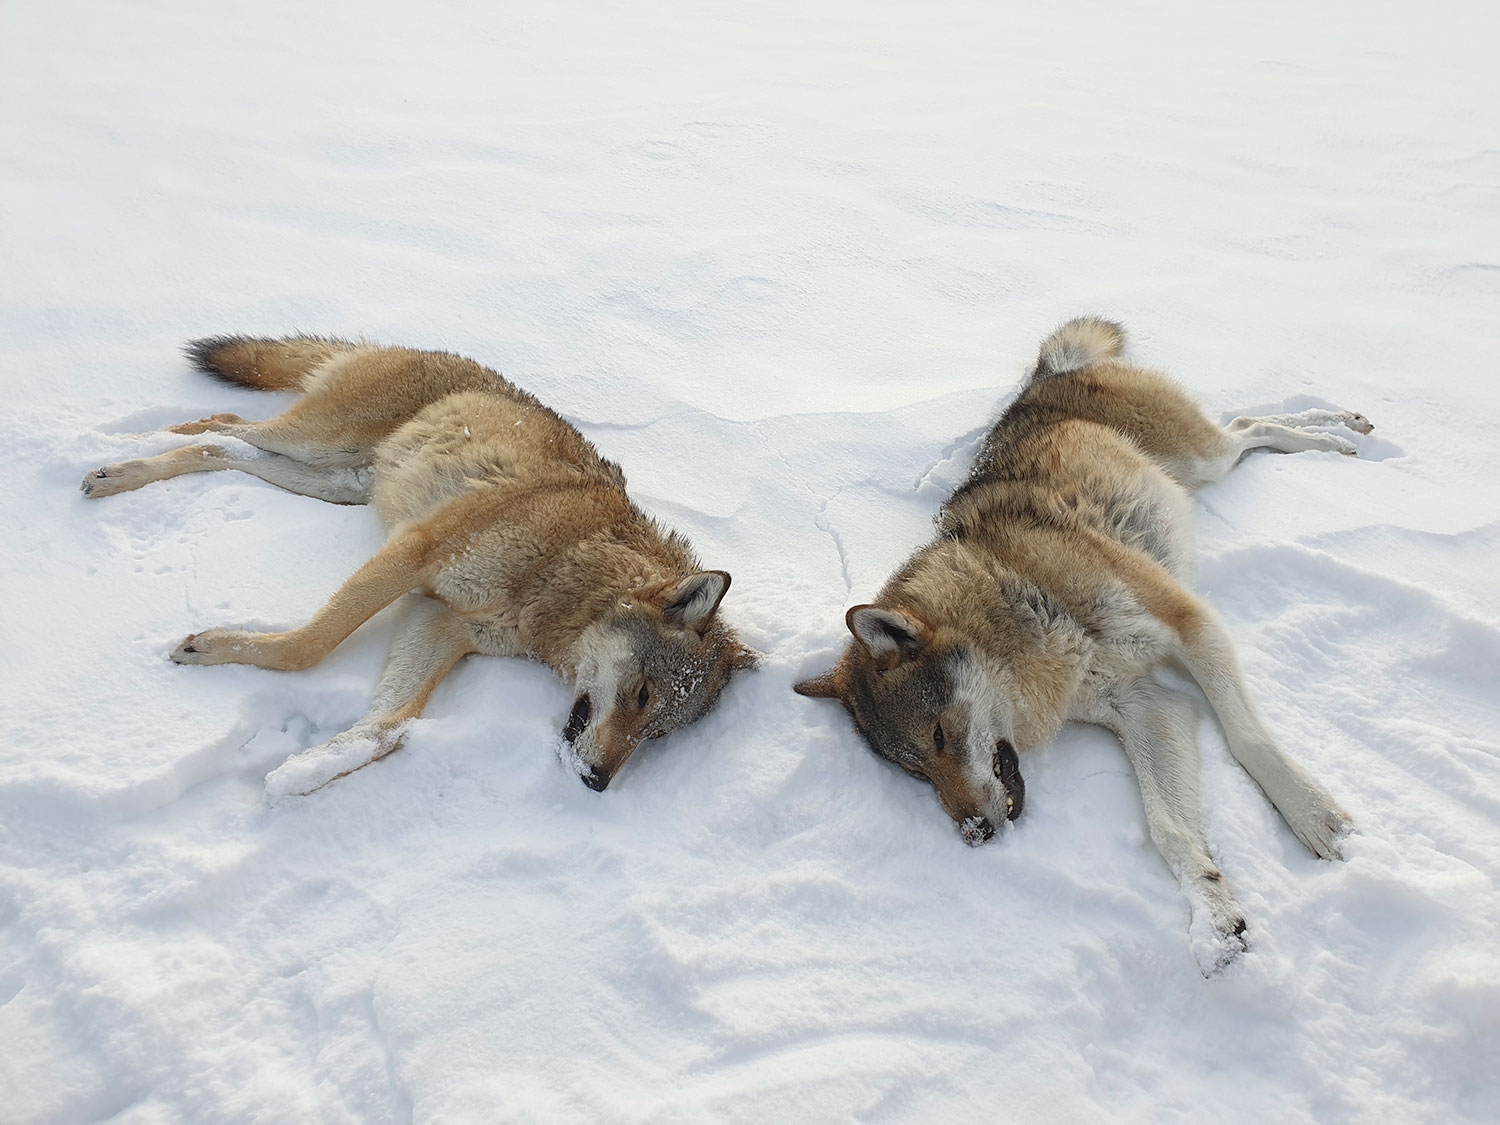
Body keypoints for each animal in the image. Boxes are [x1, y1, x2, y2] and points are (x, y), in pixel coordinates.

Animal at [85, 334, 750, 804]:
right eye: (641, 694)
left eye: (656, 732)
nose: (597, 783)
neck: (564, 574)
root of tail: (395, 346)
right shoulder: (416, 553)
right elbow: (310, 646)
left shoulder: (438, 621)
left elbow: (391, 726)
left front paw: (304, 773)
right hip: (315, 443)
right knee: (219, 425)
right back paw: (106, 452)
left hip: (332, 480)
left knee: (223, 445)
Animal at [798, 321, 1374, 972]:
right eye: (916, 772)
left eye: (941, 737)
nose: (975, 835)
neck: (1033, 623)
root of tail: (1045, 374)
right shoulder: (1147, 707)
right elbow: (1169, 831)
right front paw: (1215, 922)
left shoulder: (1190, 623)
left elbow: (1249, 742)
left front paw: (1316, 821)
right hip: (1201, 468)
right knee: (1248, 426)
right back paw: (1344, 429)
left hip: (1204, 460)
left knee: (1251, 427)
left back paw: (1337, 436)